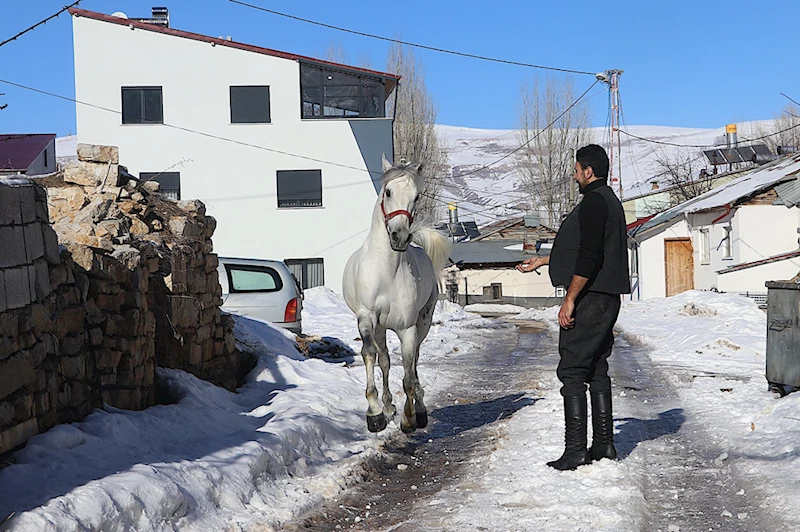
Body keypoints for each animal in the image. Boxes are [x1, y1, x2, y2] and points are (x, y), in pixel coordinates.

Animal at [342, 157, 454, 432]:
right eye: (388, 192)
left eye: (416, 196)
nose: (400, 236)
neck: (386, 271)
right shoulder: (367, 318)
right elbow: (370, 355)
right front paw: (375, 414)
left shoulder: (408, 328)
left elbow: (409, 373)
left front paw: (409, 417)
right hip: (381, 328)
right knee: (384, 360)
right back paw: (387, 406)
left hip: (423, 322)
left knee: (413, 362)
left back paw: (416, 409)